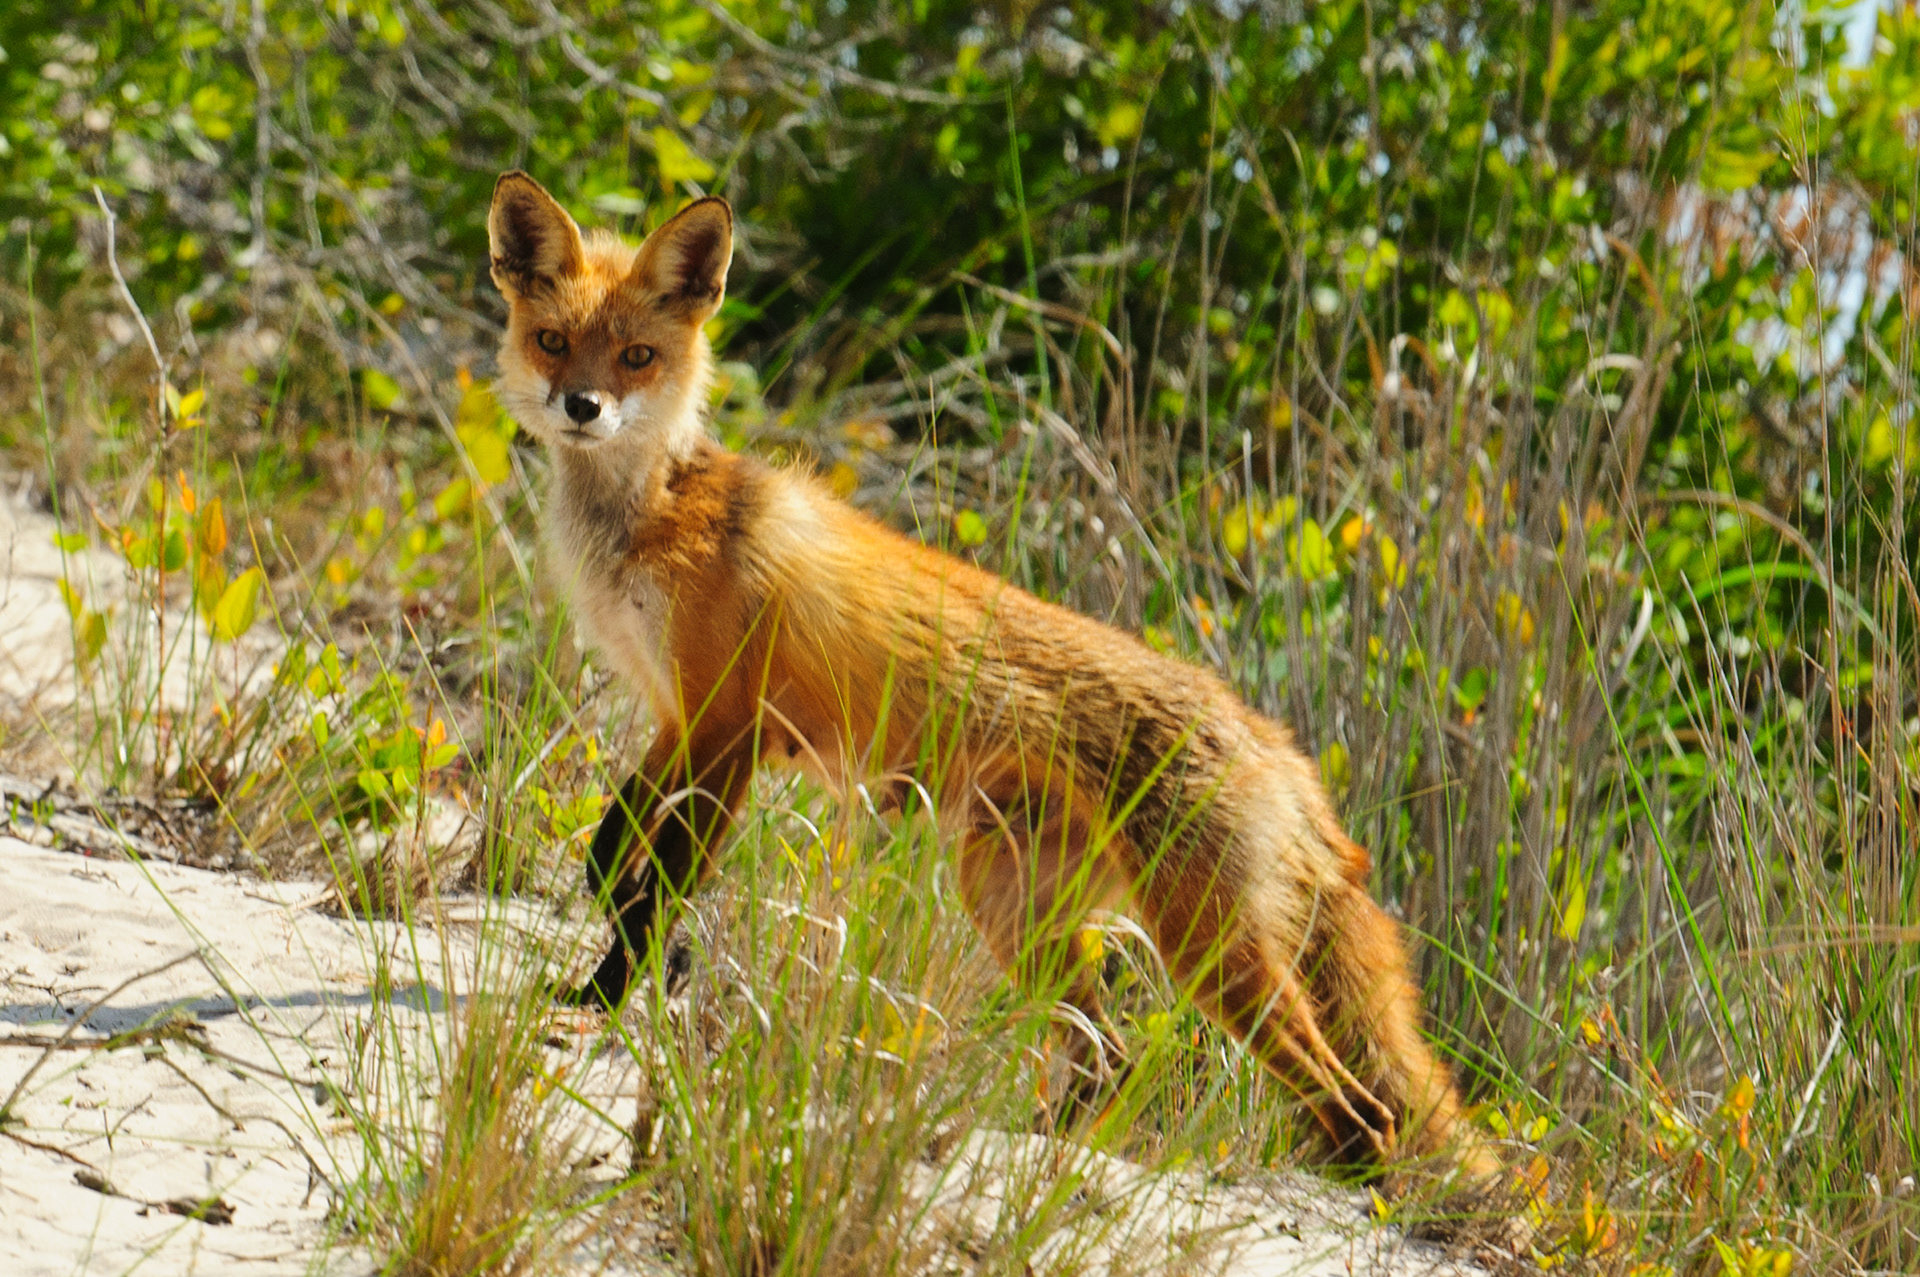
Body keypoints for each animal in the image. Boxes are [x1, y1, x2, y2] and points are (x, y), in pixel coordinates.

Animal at [486, 169, 1501, 1190]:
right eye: (553, 341)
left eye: (638, 356)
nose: (581, 406)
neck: (654, 515)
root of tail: (1283, 751)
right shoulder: (673, 713)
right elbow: (607, 852)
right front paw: (610, 960)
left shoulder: (730, 724)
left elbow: (654, 889)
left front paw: (612, 992)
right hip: (1014, 902)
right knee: (1111, 1054)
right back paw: (1031, 1151)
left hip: (1206, 954)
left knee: (1361, 1108)